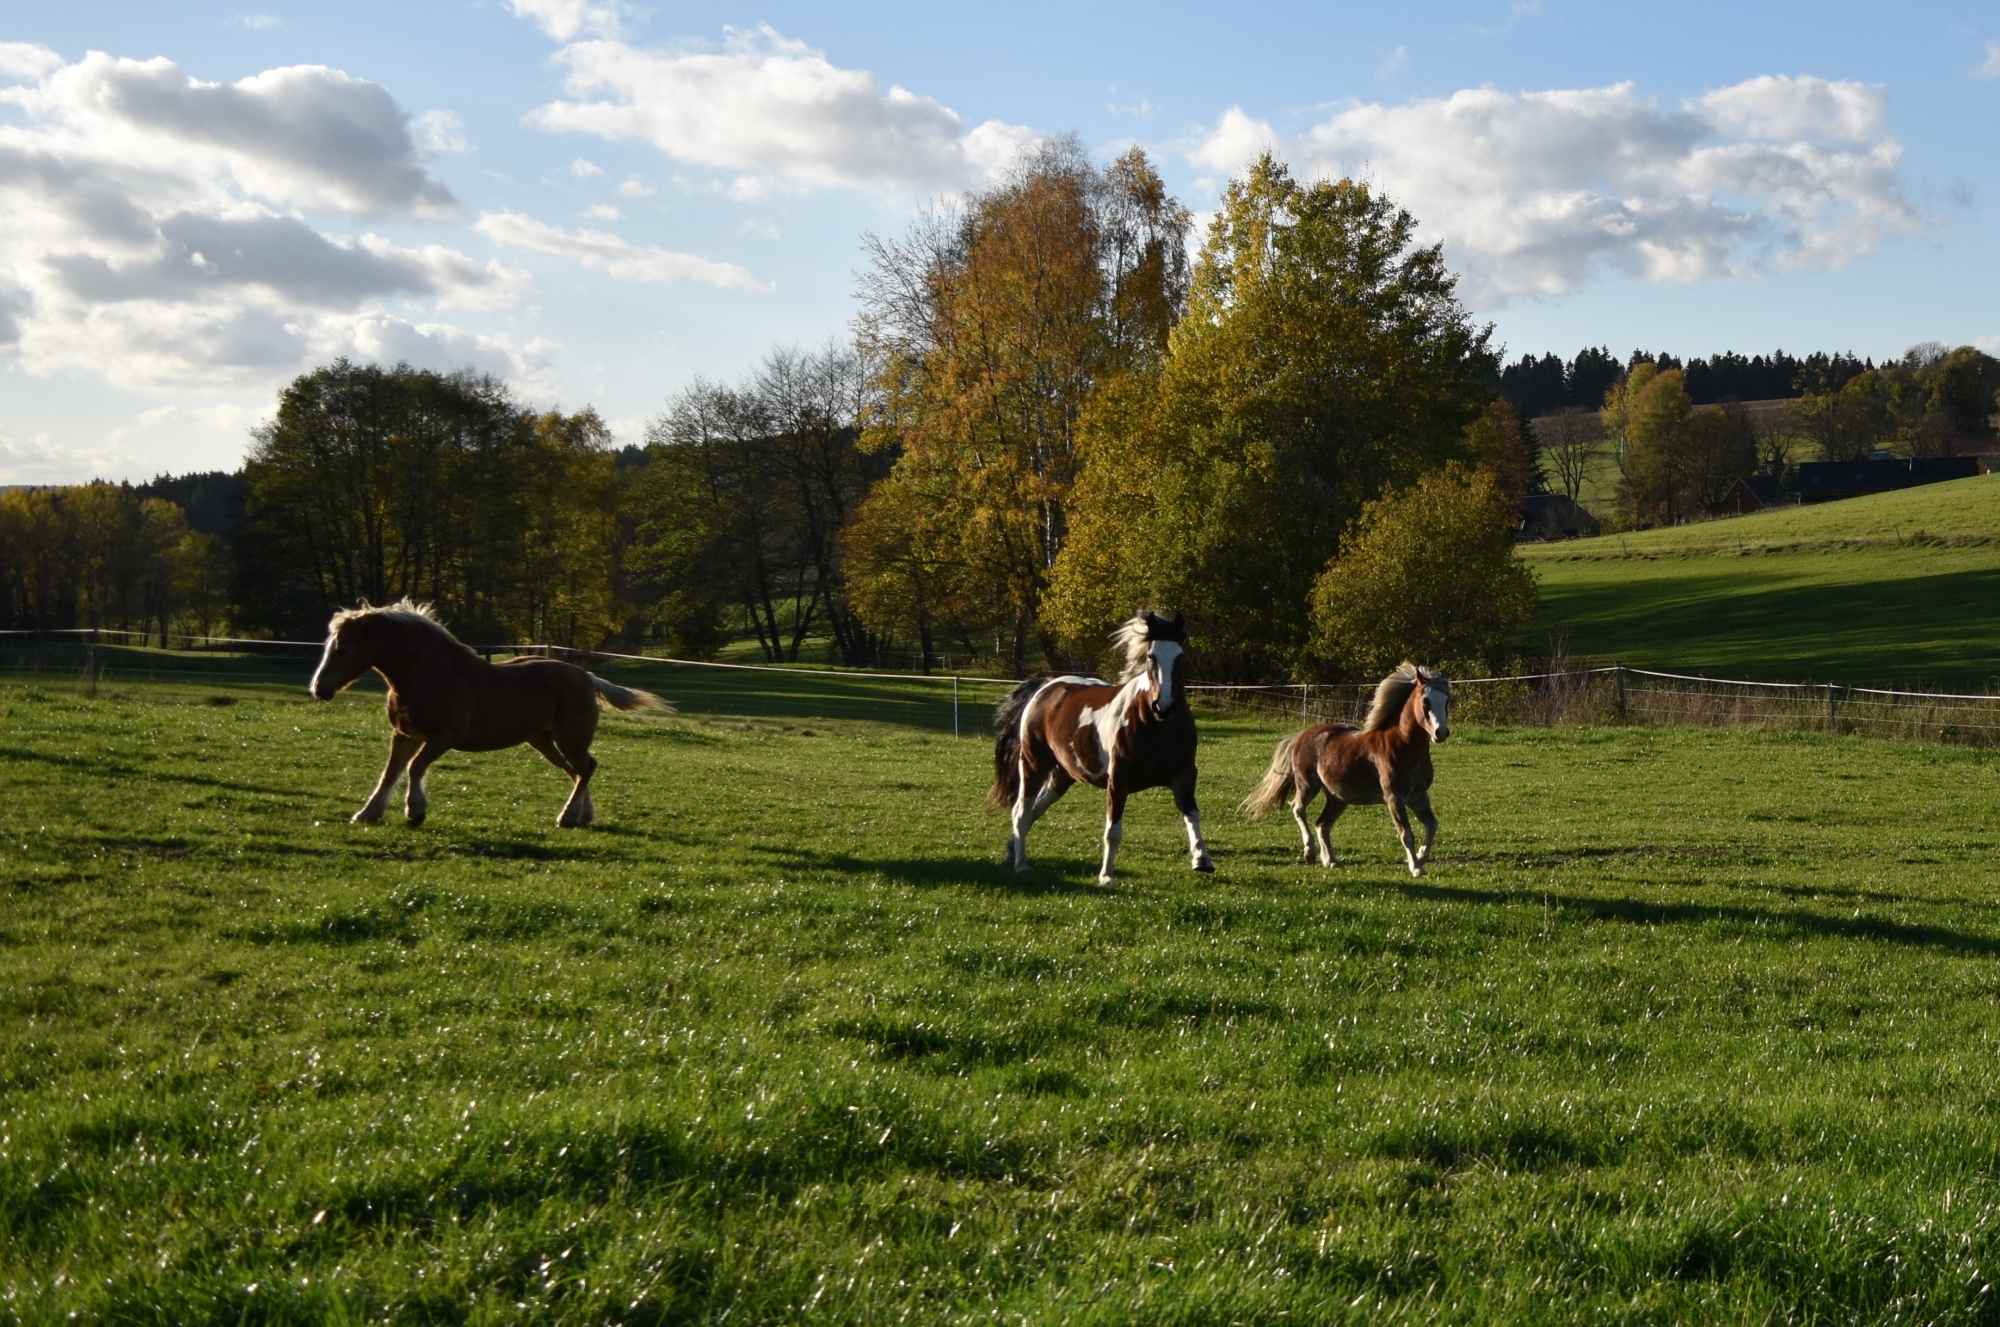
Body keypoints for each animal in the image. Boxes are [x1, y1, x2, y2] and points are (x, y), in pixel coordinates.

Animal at [307, 599, 672, 828]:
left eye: (342, 649)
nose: (318, 689)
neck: (429, 674)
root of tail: (587, 676)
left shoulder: (442, 738)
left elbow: (414, 769)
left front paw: (415, 812)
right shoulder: (405, 735)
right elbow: (390, 774)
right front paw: (367, 815)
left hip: (569, 739)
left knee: (585, 768)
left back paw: (567, 818)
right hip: (544, 742)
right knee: (579, 771)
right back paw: (582, 817)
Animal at [988, 610, 1213, 885]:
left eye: (1180, 656)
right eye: (1151, 657)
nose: (1164, 706)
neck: (1156, 725)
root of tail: (1045, 687)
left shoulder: (1184, 776)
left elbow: (1192, 815)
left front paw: (1202, 860)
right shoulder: (1118, 781)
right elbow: (1113, 831)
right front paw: (1106, 876)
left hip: (1062, 776)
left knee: (1033, 811)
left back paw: (1011, 851)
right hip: (1033, 764)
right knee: (1021, 812)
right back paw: (1021, 865)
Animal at [1239, 662, 1450, 877]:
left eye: (1446, 701)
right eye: (1426, 701)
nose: (1441, 733)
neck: (1402, 745)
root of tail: (1301, 736)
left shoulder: (1418, 796)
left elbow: (1432, 826)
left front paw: (1421, 857)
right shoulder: (1394, 797)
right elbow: (1406, 833)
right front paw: (1415, 867)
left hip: (1337, 797)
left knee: (1322, 824)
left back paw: (1331, 861)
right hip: (1308, 785)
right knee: (1298, 809)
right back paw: (1310, 853)